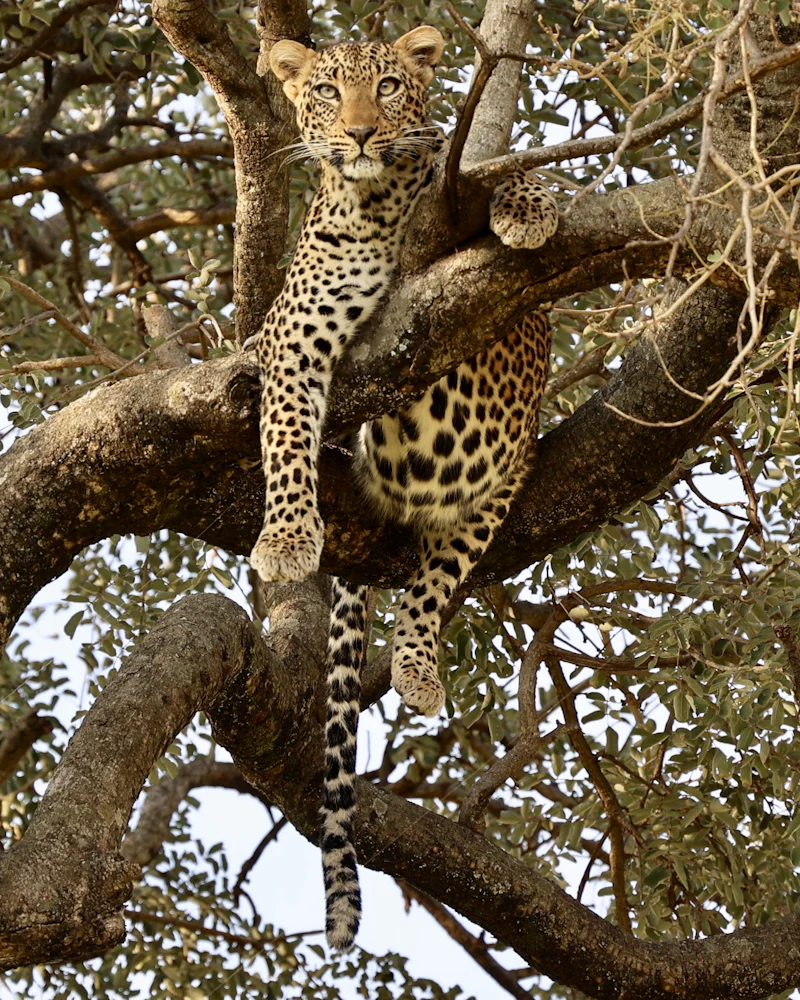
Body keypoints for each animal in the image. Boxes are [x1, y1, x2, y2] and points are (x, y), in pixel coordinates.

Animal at [249, 26, 558, 952]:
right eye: (325, 91)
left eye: (388, 86)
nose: (357, 134)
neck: (378, 207)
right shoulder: (292, 338)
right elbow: (284, 442)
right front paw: (287, 540)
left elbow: (488, 176)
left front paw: (529, 205)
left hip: (500, 482)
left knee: (435, 583)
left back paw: (419, 667)